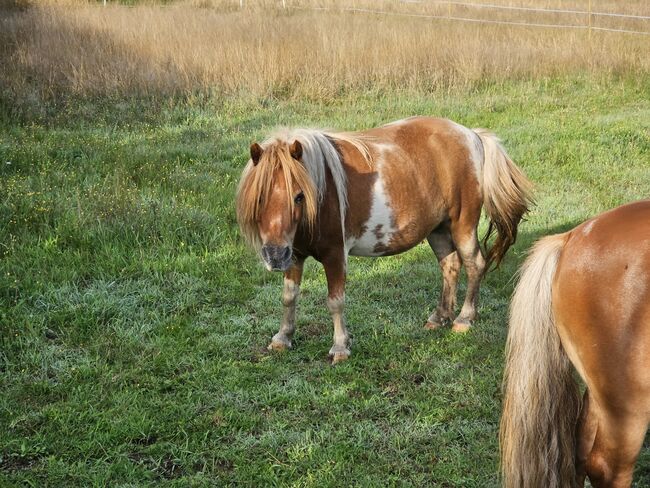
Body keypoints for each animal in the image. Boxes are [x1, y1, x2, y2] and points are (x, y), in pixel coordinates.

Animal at [235, 116, 528, 362]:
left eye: (298, 196)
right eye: (259, 197)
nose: (274, 256)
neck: (321, 189)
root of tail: (472, 135)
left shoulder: (335, 254)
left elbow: (335, 301)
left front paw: (340, 347)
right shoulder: (295, 254)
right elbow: (289, 296)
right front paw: (283, 337)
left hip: (462, 224)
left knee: (474, 264)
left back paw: (464, 319)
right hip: (438, 229)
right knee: (450, 266)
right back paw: (439, 317)